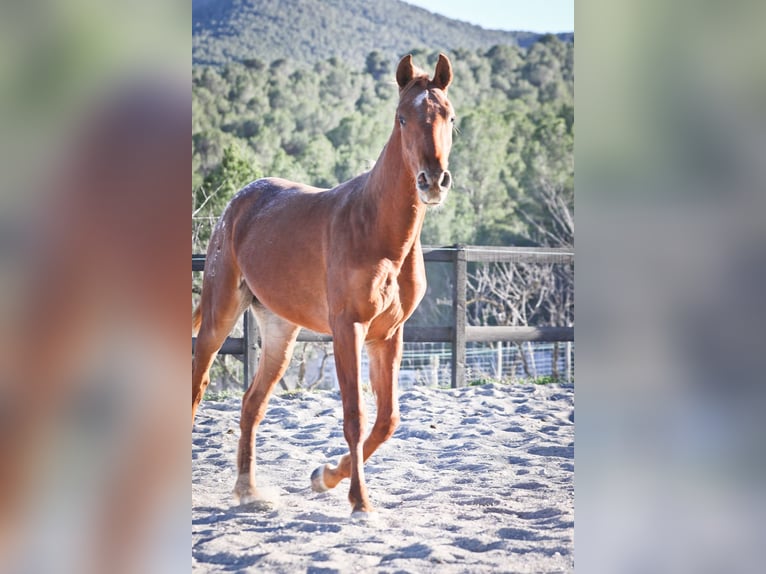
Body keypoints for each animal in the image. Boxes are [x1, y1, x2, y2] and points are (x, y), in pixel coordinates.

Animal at [192, 54, 456, 516]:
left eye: (449, 116)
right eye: (401, 118)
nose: (433, 180)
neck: (379, 231)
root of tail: (237, 203)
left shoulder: (388, 334)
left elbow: (387, 420)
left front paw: (324, 477)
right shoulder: (348, 328)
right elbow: (355, 415)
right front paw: (360, 503)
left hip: (280, 331)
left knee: (252, 403)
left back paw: (248, 491)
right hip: (218, 313)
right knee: (197, 382)